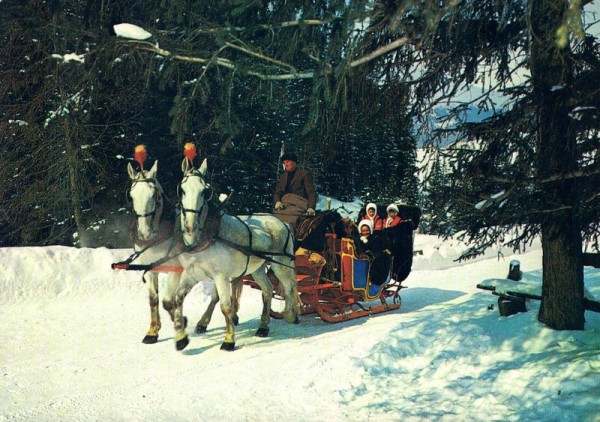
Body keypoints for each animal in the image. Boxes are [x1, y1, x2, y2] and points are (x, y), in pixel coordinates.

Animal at [172, 157, 302, 352]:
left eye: (205, 191)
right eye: (182, 189)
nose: (190, 225)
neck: (207, 236)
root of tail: (283, 223)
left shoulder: (221, 276)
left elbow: (225, 306)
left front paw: (229, 340)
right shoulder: (191, 274)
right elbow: (178, 299)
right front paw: (181, 338)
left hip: (281, 264)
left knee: (289, 287)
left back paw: (290, 314)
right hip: (257, 269)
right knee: (267, 290)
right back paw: (263, 327)